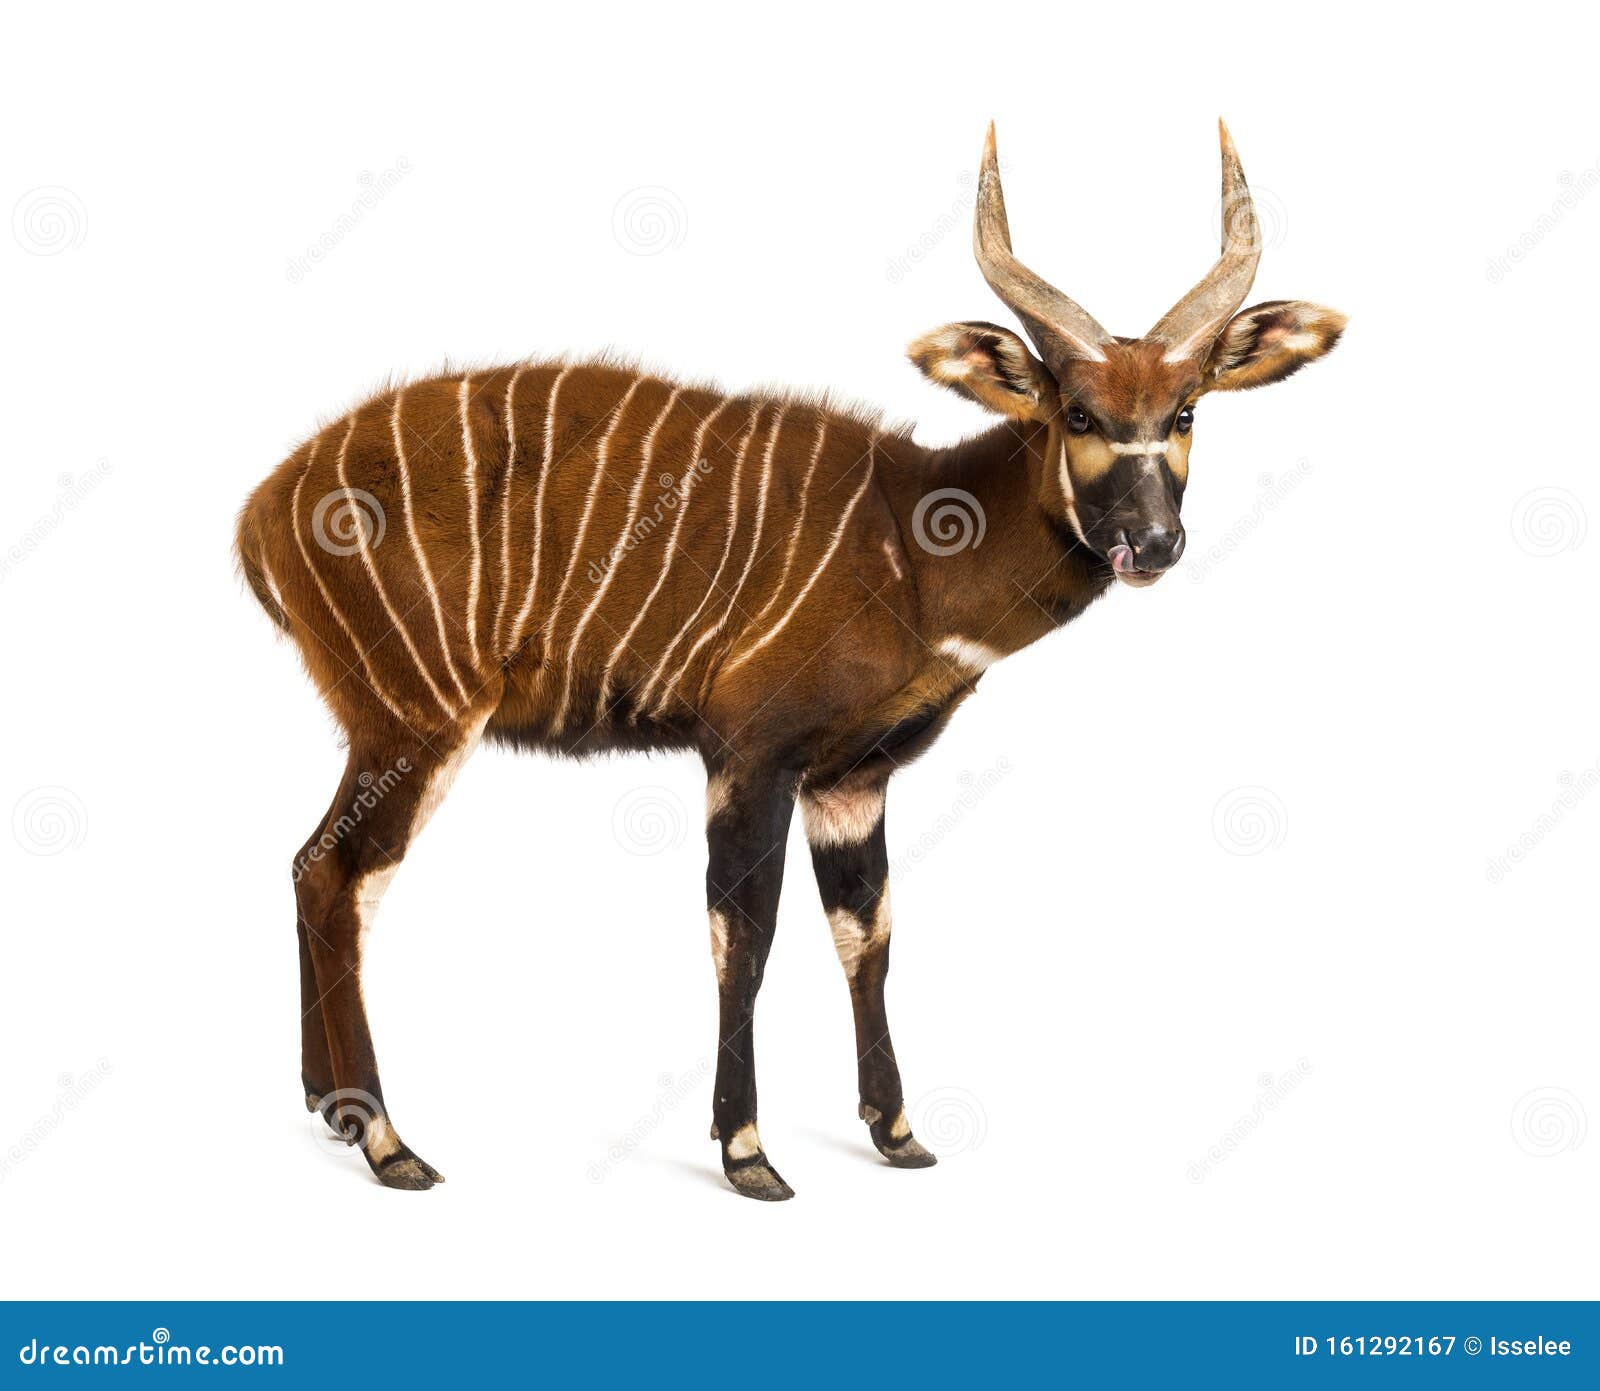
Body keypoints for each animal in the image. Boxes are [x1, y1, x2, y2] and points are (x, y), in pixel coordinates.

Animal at [237, 121, 1343, 1200]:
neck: (916, 546)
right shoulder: (749, 749)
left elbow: (869, 936)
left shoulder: (852, 777)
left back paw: (329, 1107)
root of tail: (260, 510)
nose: (1152, 543)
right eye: (1077, 412)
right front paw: (748, 1153)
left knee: (308, 864)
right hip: (419, 715)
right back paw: (389, 1142)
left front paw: (899, 1135)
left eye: (1185, 412)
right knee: (343, 874)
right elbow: (745, 938)